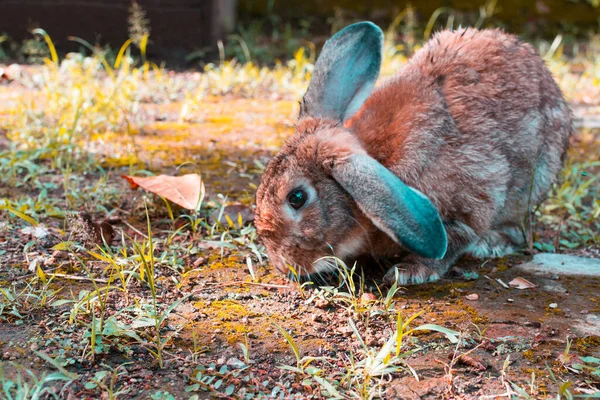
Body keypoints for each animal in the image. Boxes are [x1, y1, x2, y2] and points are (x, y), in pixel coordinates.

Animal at [253, 21, 572, 286]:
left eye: (297, 197)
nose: (283, 266)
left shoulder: (473, 201)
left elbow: (456, 239)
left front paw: (409, 272)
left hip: (533, 185)